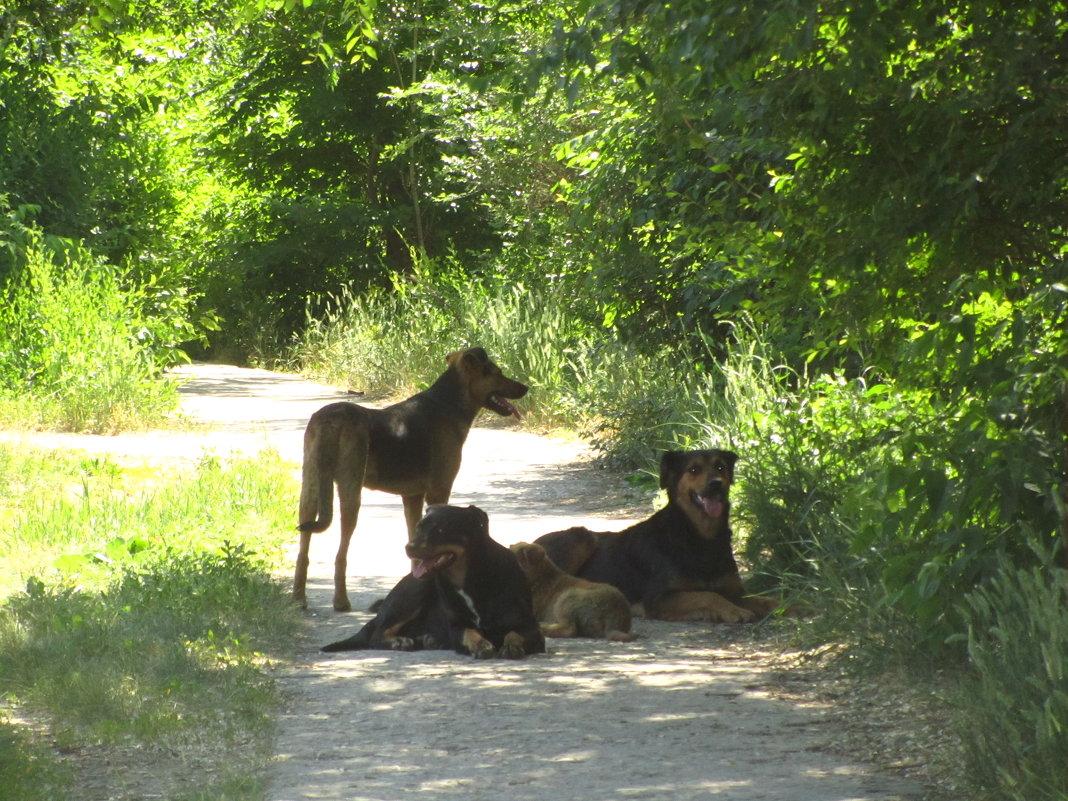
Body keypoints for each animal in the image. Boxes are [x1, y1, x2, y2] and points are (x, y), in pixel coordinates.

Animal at [294, 346, 527, 615]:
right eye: (497, 373)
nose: (525, 388)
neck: (451, 403)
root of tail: (329, 419)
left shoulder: (412, 497)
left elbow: (415, 549)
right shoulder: (439, 491)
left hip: (309, 486)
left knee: (303, 549)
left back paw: (298, 597)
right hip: (349, 490)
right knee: (340, 553)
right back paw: (340, 601)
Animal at [320, 508, 546, 657]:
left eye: (440, 529)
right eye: (419, 527)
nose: (408, 547)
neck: (469, 579)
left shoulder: (530, 626)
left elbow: (515, 633)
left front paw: (511, 645)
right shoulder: (456, 627)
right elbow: (469, 632)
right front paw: (481, 644)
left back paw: (426, 640)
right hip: (417, 588)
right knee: (377, 634)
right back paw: (401, 641)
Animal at [534, 448, 777, 623]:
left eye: (720, 467)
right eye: (693, 469)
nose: (716, 484)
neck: (698, 536)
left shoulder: (735, 590)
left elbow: (769, 600)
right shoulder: (658, 598)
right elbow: (708, 595)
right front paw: (733, 611)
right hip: (581, 537)